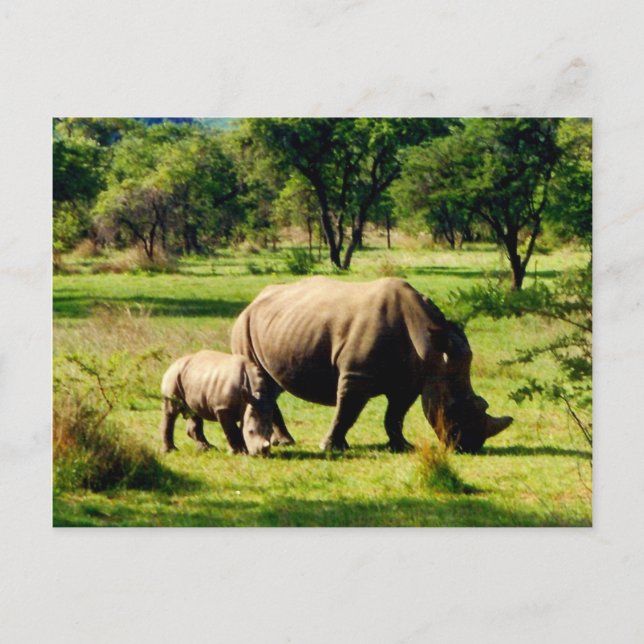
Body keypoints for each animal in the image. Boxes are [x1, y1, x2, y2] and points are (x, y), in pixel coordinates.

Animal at [231, 277, 513, 454]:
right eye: (454, 408)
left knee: (273, 385)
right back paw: (287, 443)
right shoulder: (356, 375)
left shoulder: (409, 380)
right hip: (244, 325)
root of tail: (252, 302)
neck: (430, 346)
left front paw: (402, 447)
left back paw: (284, 441)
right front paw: (330, 447)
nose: (472, 445)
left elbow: (395, 416)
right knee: (261, 380)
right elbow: (347, 412)